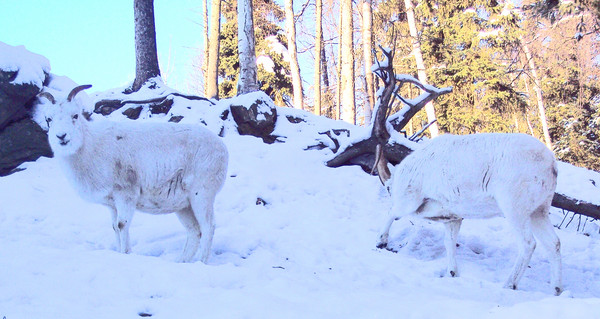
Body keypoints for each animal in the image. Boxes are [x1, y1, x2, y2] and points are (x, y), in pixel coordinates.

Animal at [37, 84, 229, 262]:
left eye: (75, 116)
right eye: (49, 119)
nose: (62, 137)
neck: (92, 148)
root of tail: (222, 148)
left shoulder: (126, 195)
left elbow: (122, 225)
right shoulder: (113, 204)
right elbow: (115, 227)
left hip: (201, 195)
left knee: (208, 227)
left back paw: (201, 262)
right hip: (184, 206)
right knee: (194, 231)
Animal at [376, 132, 564, 296]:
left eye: (388, 189)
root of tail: (551, 165)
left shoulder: (408, 201)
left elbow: (391, 213)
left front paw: (381, 242)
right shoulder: (453, 219)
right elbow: (449, 242)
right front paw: (452, 272)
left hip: (515, 211)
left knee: (528, 243)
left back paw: (509, 284)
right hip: (538, 213)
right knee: (553, 243)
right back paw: (557, 290)